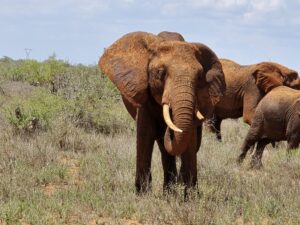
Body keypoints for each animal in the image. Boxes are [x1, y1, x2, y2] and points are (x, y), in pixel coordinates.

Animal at [98, 31, 225, 193]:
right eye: (160, 73)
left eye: (199, 76)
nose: (169, 127)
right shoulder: (144, 98)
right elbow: (144, 138)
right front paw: (143, 194)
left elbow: (189, 142)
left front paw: (191, 196)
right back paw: (169, 191)